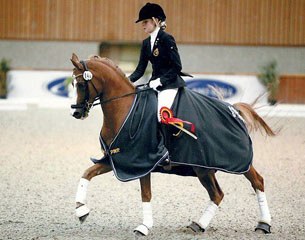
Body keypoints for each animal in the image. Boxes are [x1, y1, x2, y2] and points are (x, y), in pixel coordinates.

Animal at [70, 53, 274, 236]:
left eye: (80, 84)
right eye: (72, 84)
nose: (76, 113)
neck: (124, 109)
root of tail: (234, 110)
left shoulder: (141, 162)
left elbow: (146, 194)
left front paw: (144, 227)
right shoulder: (117, 159)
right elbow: (87, 173)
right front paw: (81, 210)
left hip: (228, 162)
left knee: (253, 183)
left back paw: (263, 224)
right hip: (205, 167)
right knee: (220, 193)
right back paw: (200, 225)